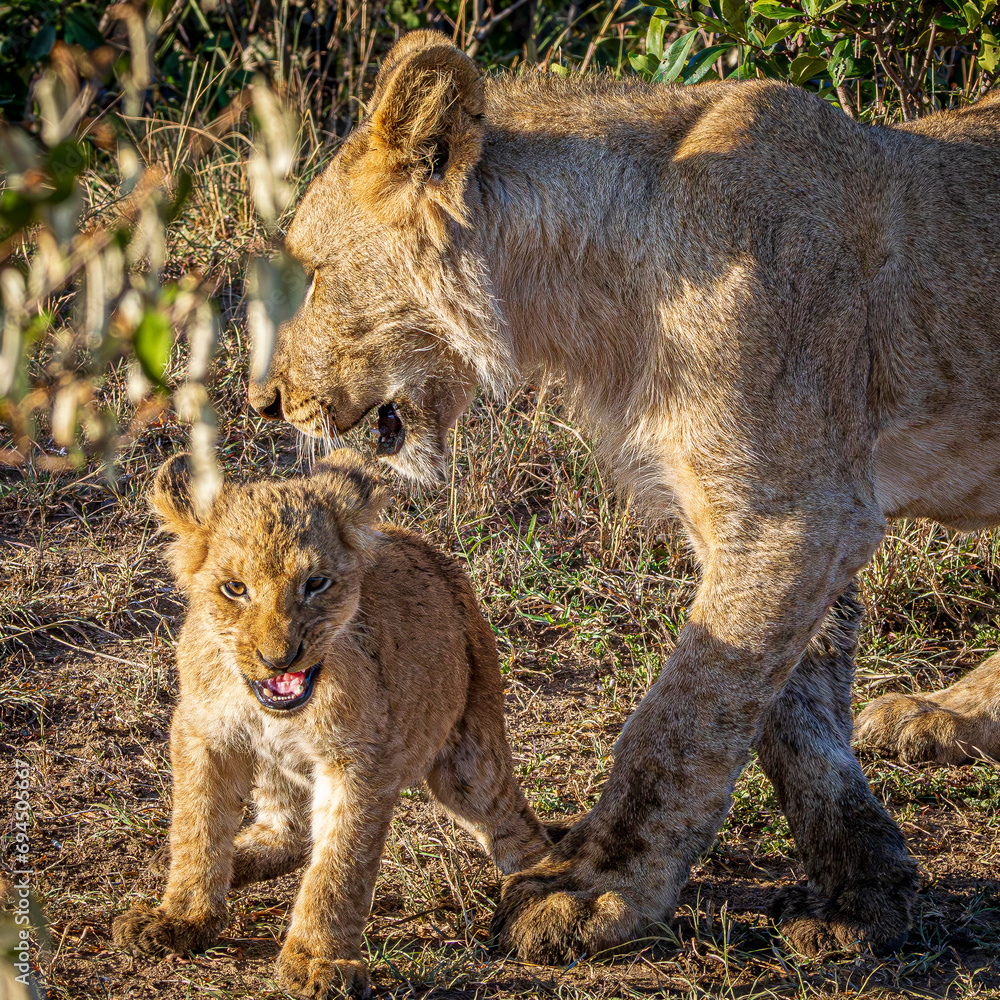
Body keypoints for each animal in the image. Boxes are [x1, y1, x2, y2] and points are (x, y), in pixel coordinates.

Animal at [111, 450, 552, 998]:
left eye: (315, 583)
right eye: (235, 589)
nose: (279, 659)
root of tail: (435, 553)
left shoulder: (362, 760)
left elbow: (340, 864)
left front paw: (319, 962)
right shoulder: (203, 733)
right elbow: (198, 826)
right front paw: (182, 918)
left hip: (469, 756)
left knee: (518, 827)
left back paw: (543, 898)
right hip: (278, 769)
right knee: (288, 834)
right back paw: (217, 860)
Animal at [248, 29, 1000, 963]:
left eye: (312, 277)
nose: (266, 402)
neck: (598, 288)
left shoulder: (791, 515)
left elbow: (681, 719)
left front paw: (593, 890)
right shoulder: (787, 513)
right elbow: (795, 716)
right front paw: (861, 890)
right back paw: (944, 717)